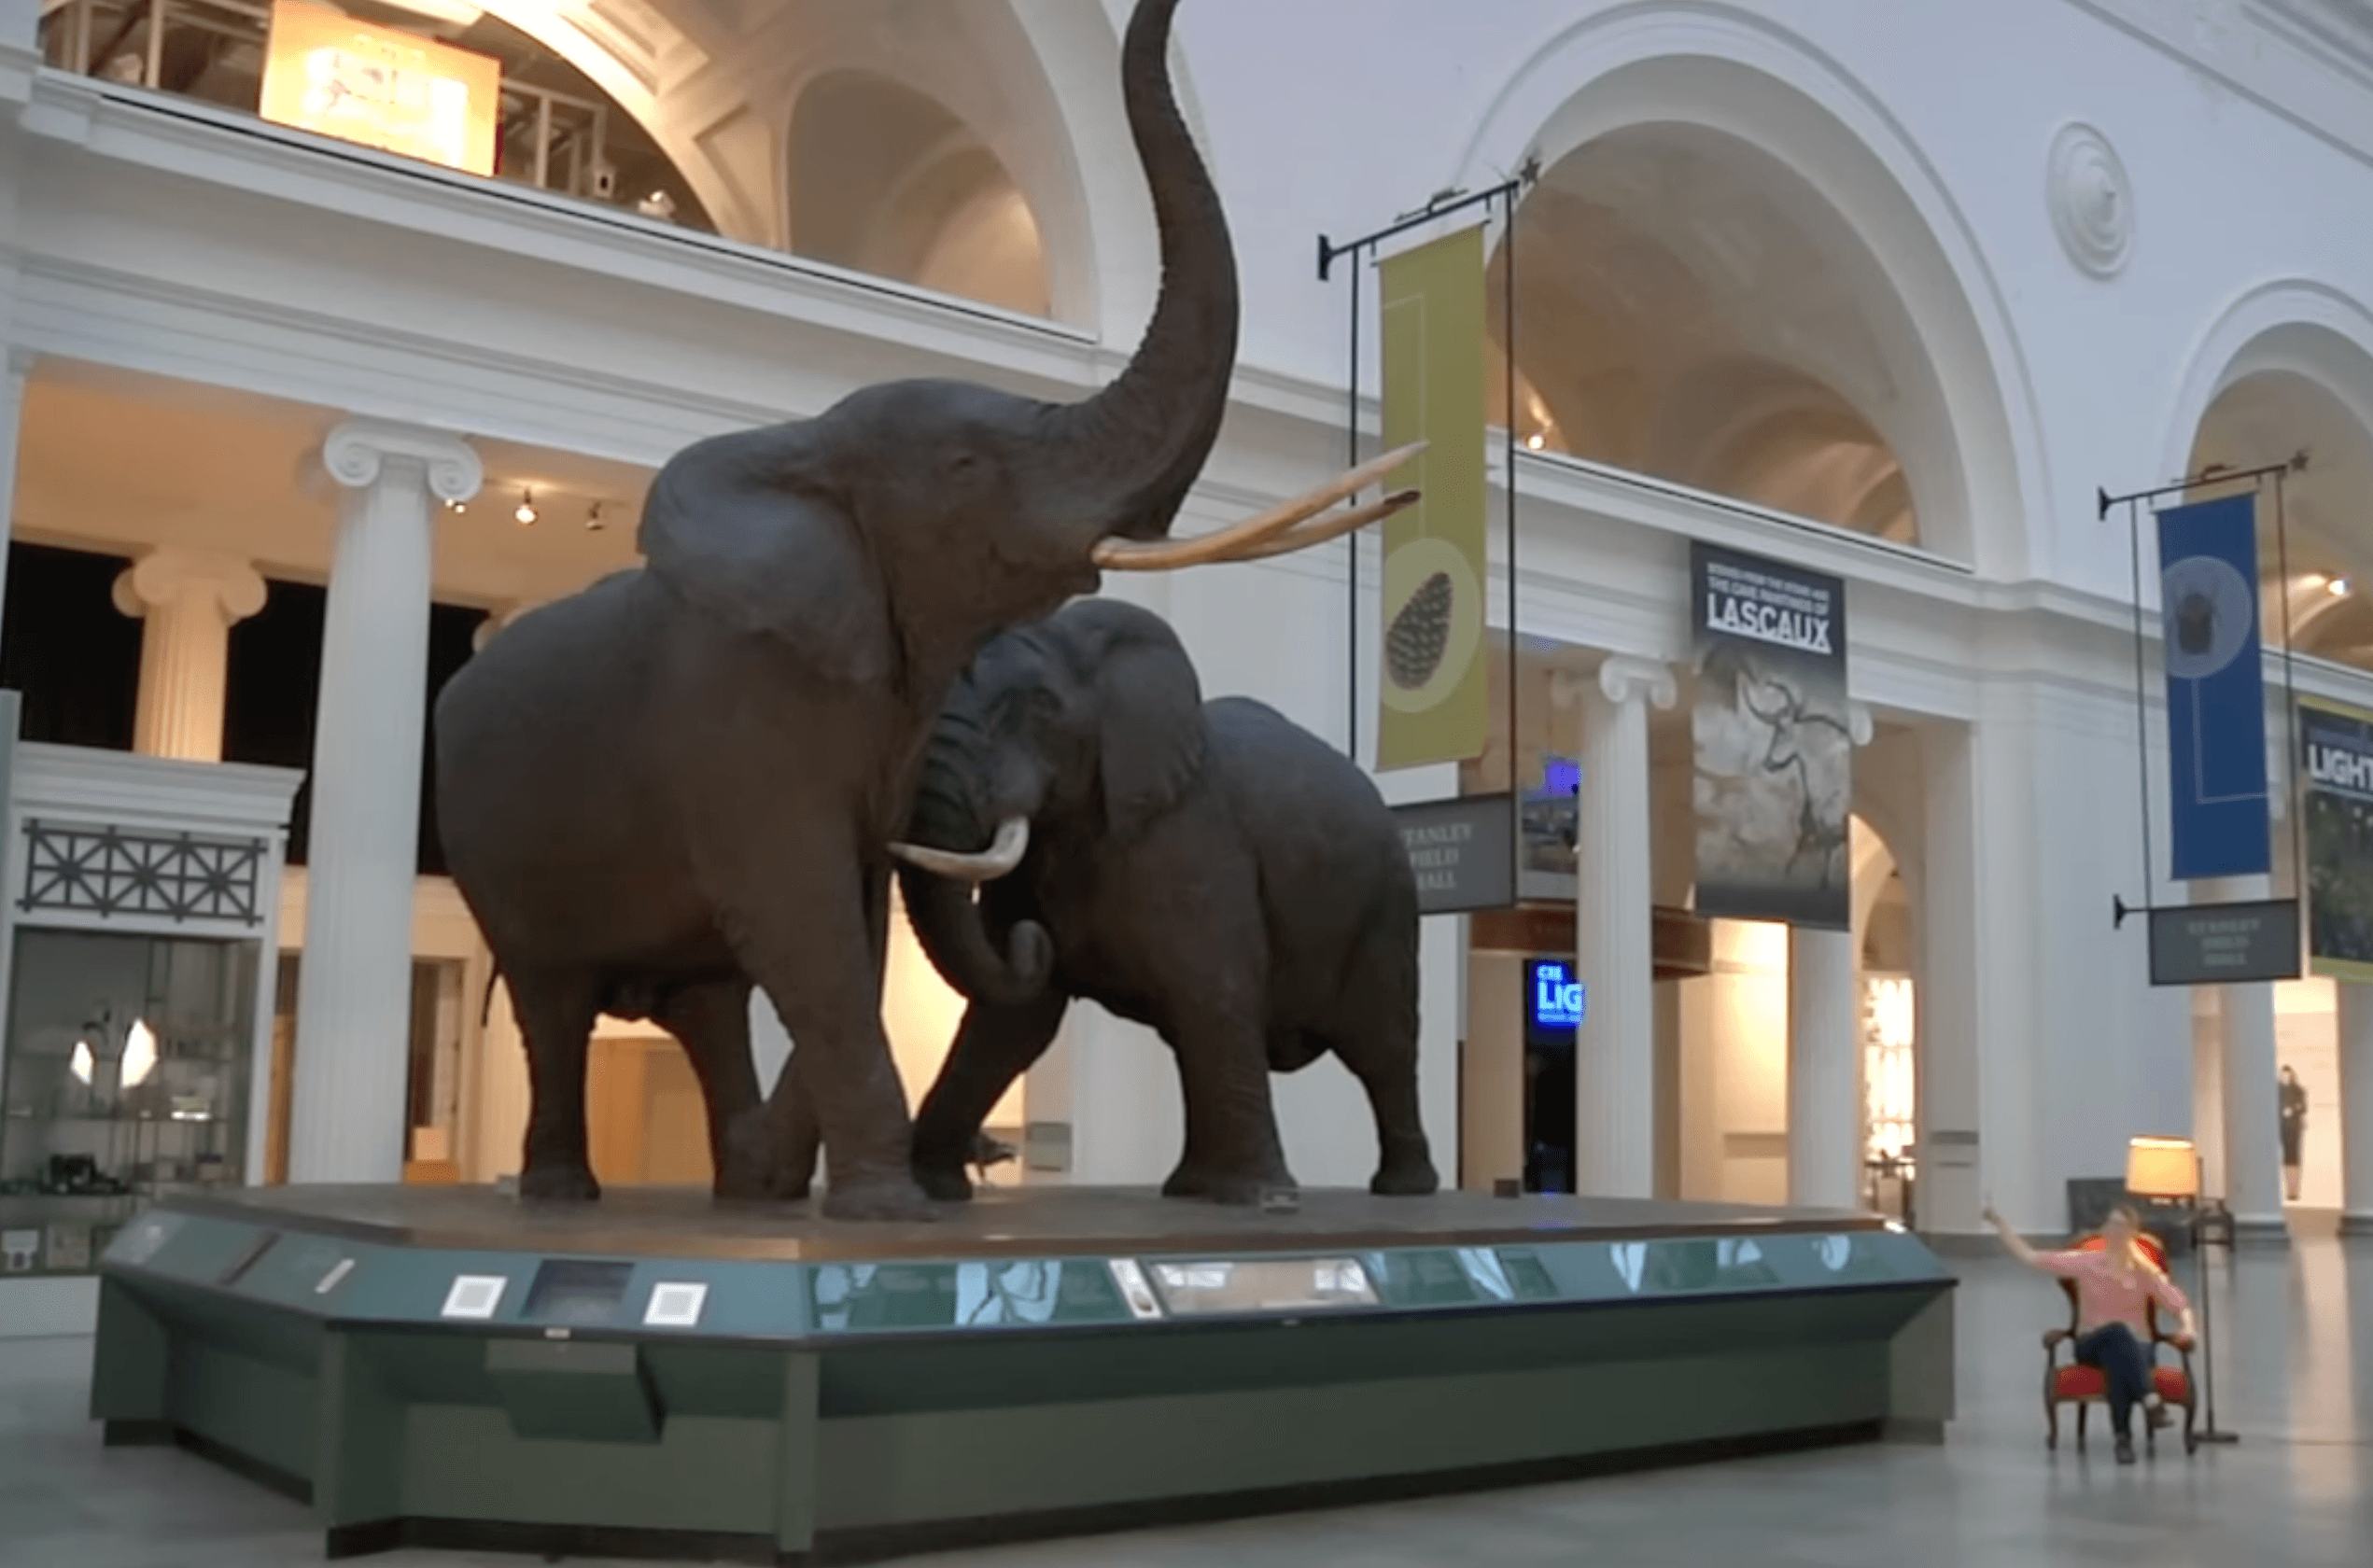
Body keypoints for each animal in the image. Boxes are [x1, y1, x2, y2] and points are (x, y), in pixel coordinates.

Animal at [892, 595, 1433, 1200]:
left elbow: (1213, 990)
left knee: (1382, 1049)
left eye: (1039, 707)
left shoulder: (1193, 839)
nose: (1029, 937)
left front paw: (1263, 1199)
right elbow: (1011, 1021)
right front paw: (935, 1191)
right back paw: (1190, 1188)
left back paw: (1403, 1189)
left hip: (1388, 905)